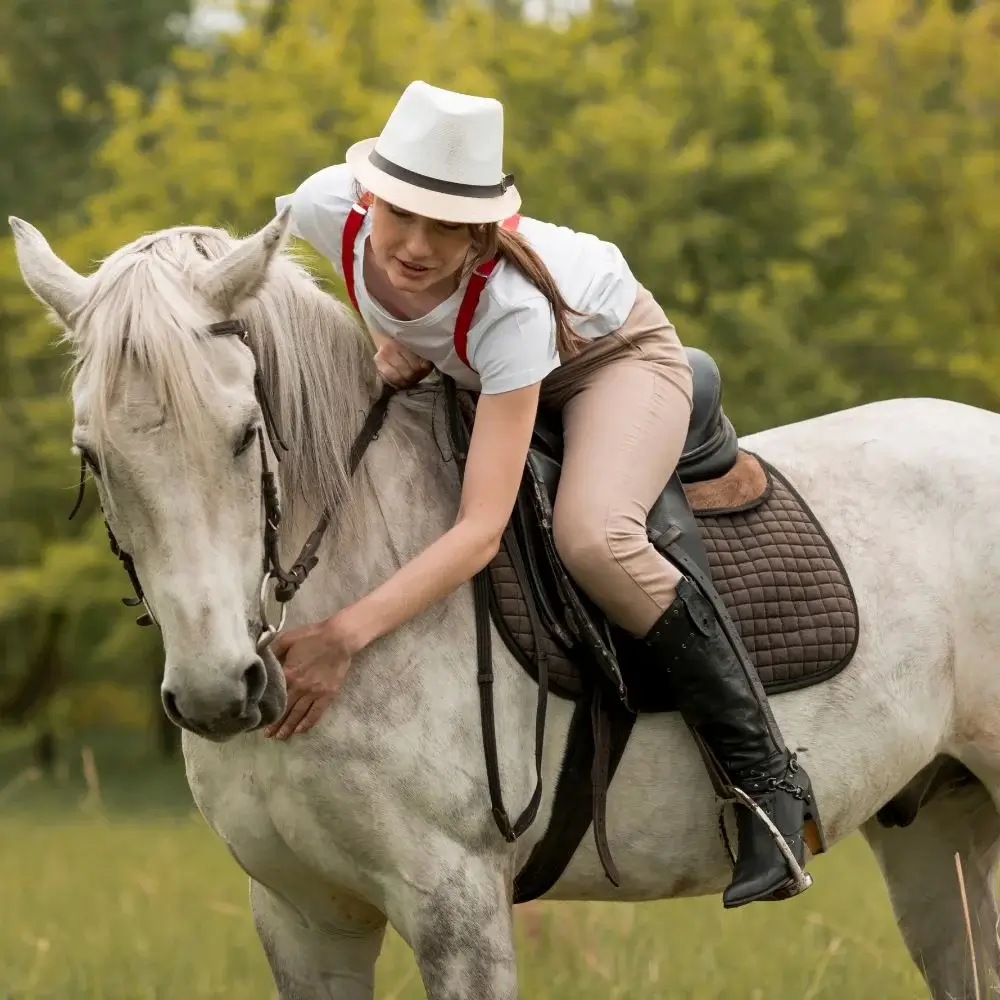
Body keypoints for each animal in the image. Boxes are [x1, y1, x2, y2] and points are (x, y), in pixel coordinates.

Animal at [11, 205, 1000, 1000]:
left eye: (246, 433)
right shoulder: (302, 919)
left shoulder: (458, 909)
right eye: (92, 453)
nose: (221, 692)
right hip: (938, 828)